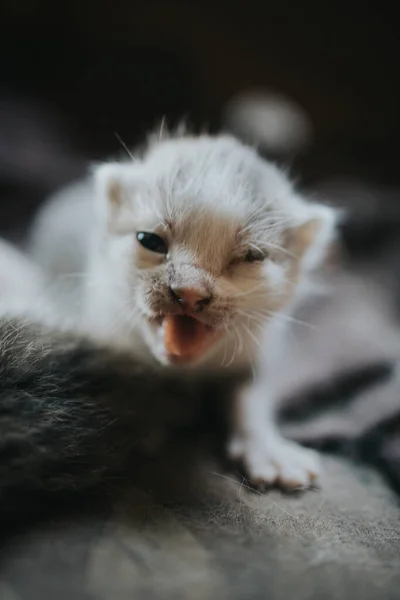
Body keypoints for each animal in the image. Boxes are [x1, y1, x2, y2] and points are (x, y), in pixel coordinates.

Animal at [29, 134, 338, 490]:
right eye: (149, 240)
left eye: (251, 256)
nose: (189, 292)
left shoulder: (260, 347)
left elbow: (251, 392)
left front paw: (269, 450)